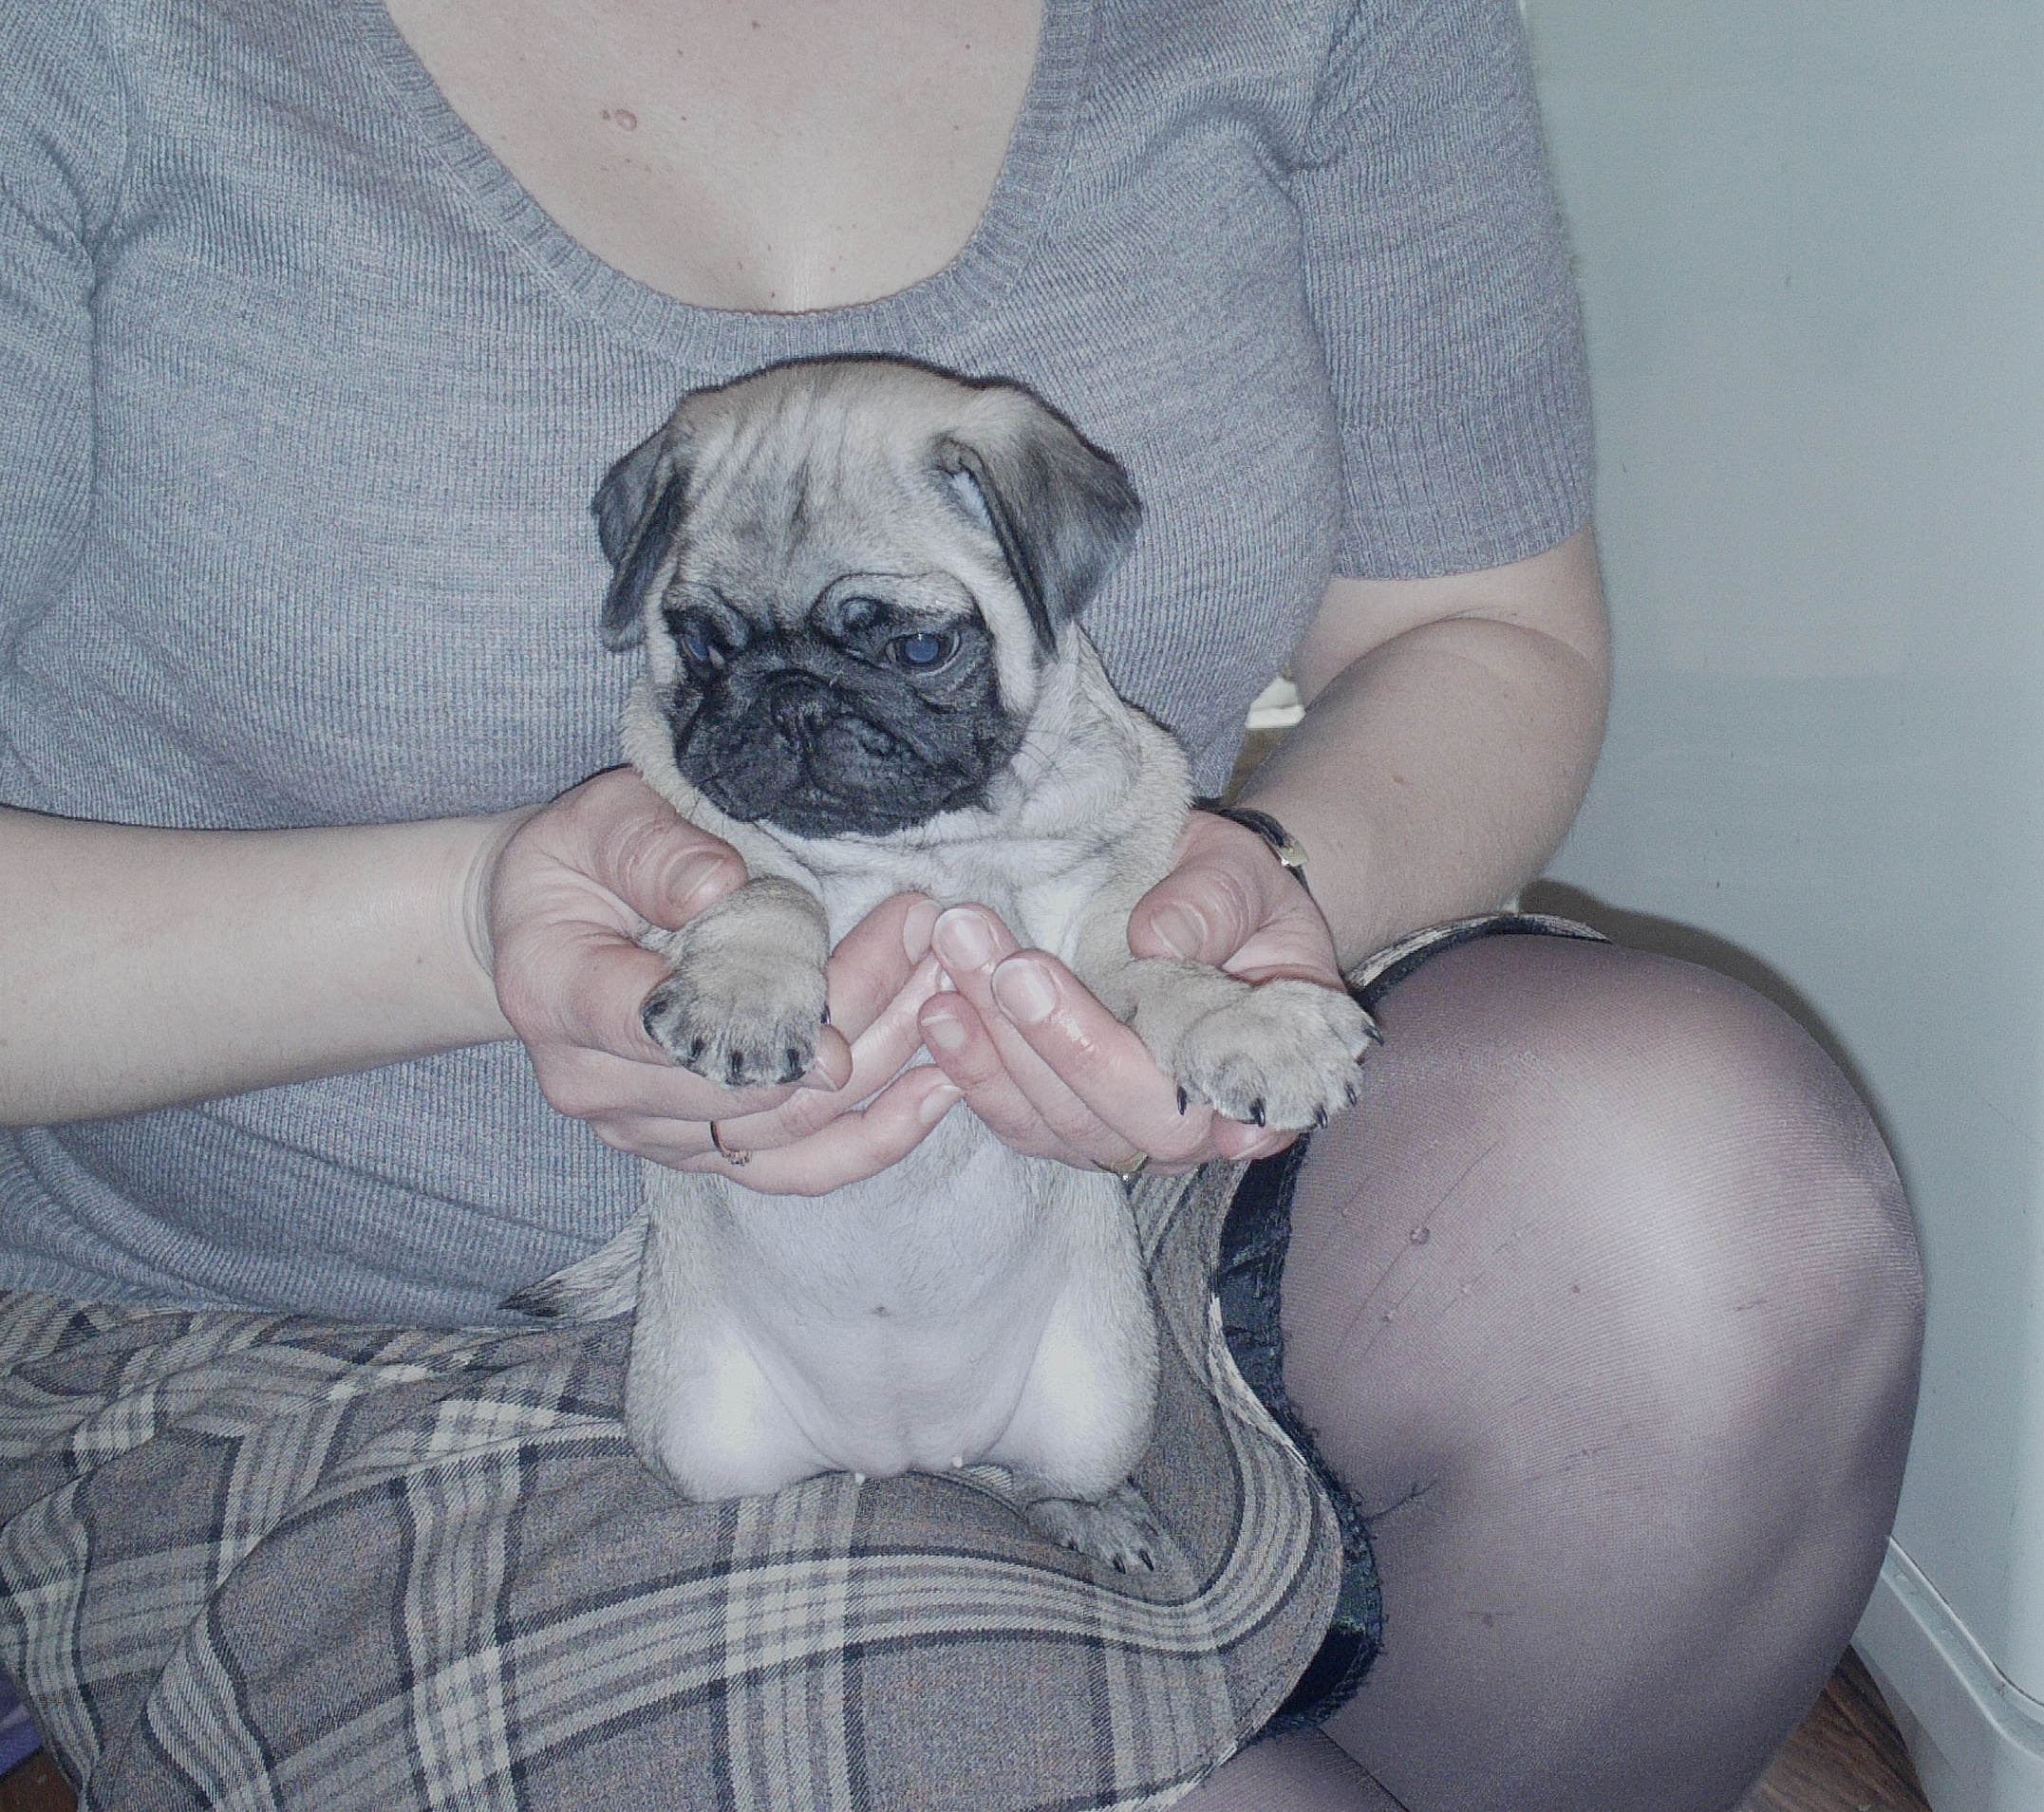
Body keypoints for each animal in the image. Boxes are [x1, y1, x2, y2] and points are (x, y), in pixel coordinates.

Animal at [512, 358, 1376, 1567]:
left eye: (917, 647)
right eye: (704, 645)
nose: (792, 695)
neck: (928, 849)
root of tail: (896, 1450)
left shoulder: (1093, 936)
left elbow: (1163, 975)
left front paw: (1253, 1021)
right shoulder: (681, 844)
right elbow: (764, 884)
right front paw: (744, 991)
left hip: (1104, 1403)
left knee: (1021, 1470)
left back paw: (1092, 1515)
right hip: (693, 1438)